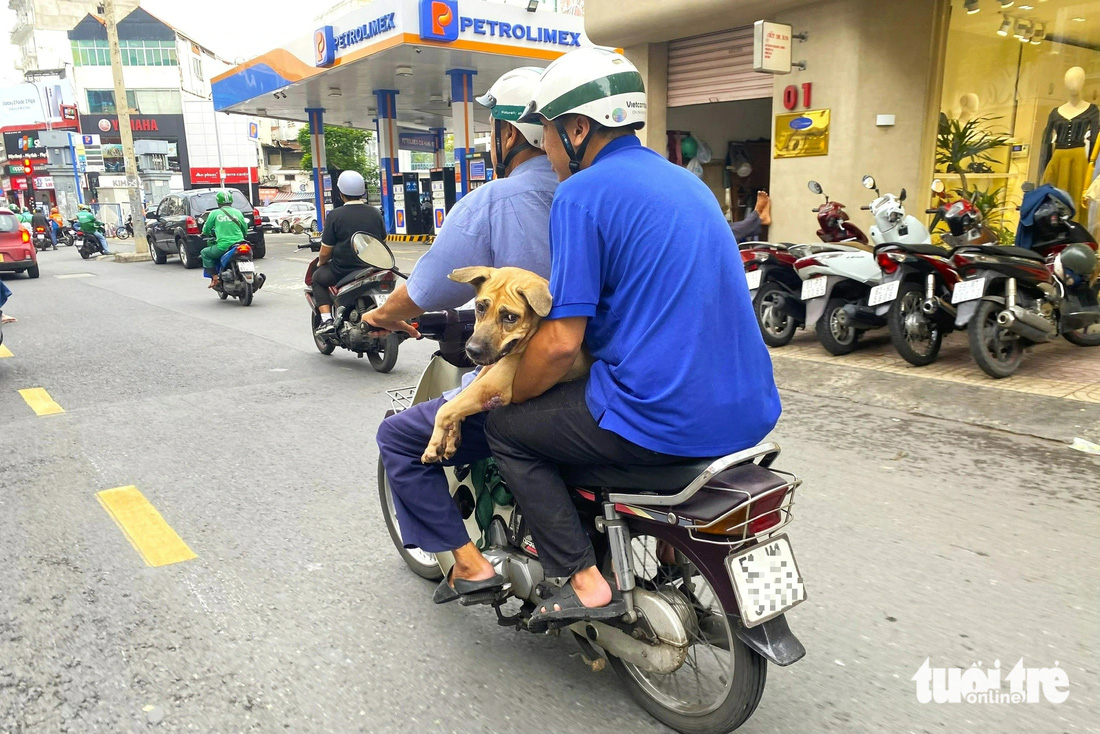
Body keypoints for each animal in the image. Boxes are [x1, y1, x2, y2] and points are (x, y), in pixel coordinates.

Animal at [422, 267, 594, 464]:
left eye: (511, 317)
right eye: (480, 307)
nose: (472, 350)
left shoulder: (492, 385)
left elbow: (444, 409)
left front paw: (433, 444)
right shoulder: (486, 373)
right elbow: (458, 399)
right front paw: (451, 435)